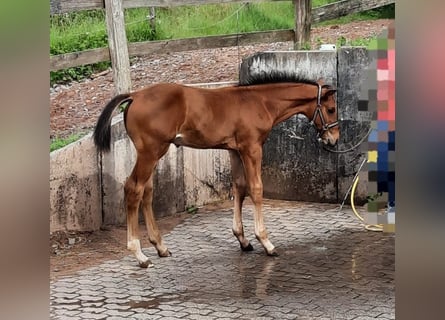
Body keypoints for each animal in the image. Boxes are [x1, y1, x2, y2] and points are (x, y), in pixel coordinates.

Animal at [93, 75, 336, 268]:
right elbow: (256, 189)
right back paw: (140, 255)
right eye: (331, 109)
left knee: (147, 191)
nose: (333, 139)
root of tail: (135, 95)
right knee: (134, 189)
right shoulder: (252, 148)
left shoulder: (235, 150)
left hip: (152, 154)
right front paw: (266, 243)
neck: (259, 102)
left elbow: (239, 187)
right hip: (151, 152)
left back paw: (160, 247)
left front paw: (243, 240)